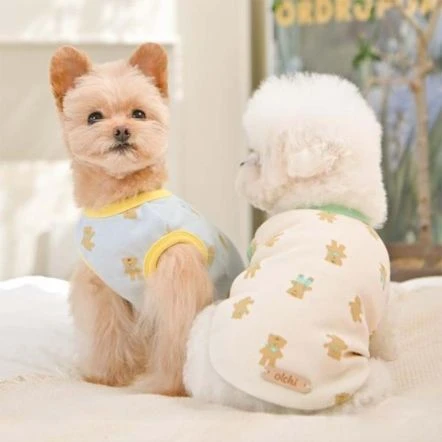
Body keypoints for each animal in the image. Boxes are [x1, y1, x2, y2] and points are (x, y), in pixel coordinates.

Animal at [49, 43, 243, 395]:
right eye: (94, 117)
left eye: (138, 114)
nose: (121, 130)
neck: (123, 202)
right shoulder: (102, 286)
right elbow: (107, 331)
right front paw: (106, 377)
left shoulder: (177, 275)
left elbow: (175, 339)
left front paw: (167, 386)